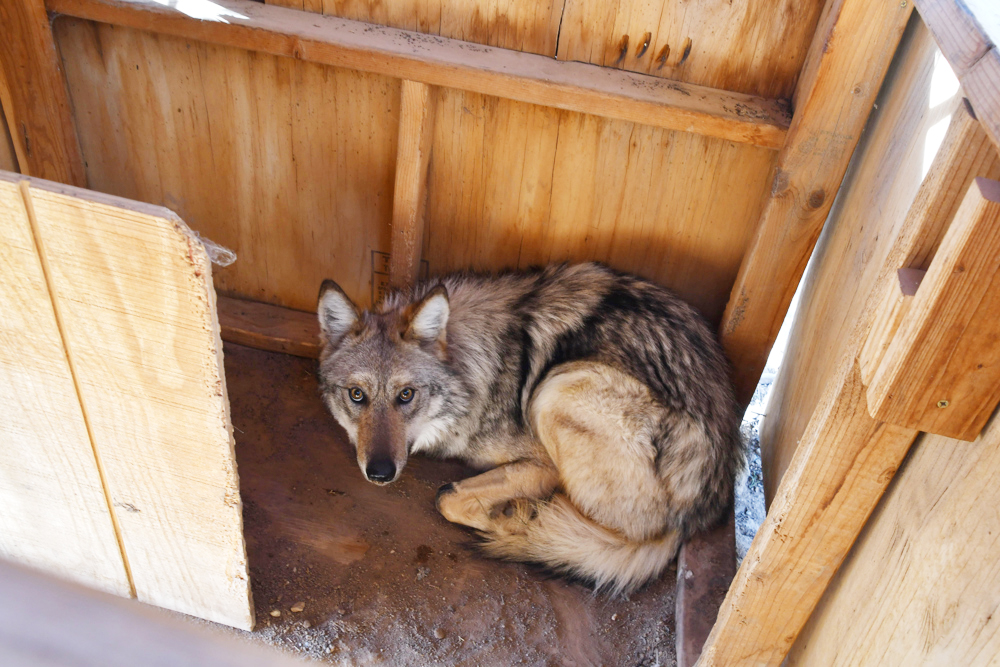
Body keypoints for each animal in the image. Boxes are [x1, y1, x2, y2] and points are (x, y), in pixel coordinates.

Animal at [316, 263, 743, 594]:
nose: (380, 473)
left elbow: (447, 498)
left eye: (406, 395)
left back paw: (523, 520)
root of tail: (694, 516)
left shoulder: (543, 462)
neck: (476, 366)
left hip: (556, 389)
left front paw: (506, 512)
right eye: (357, 395)